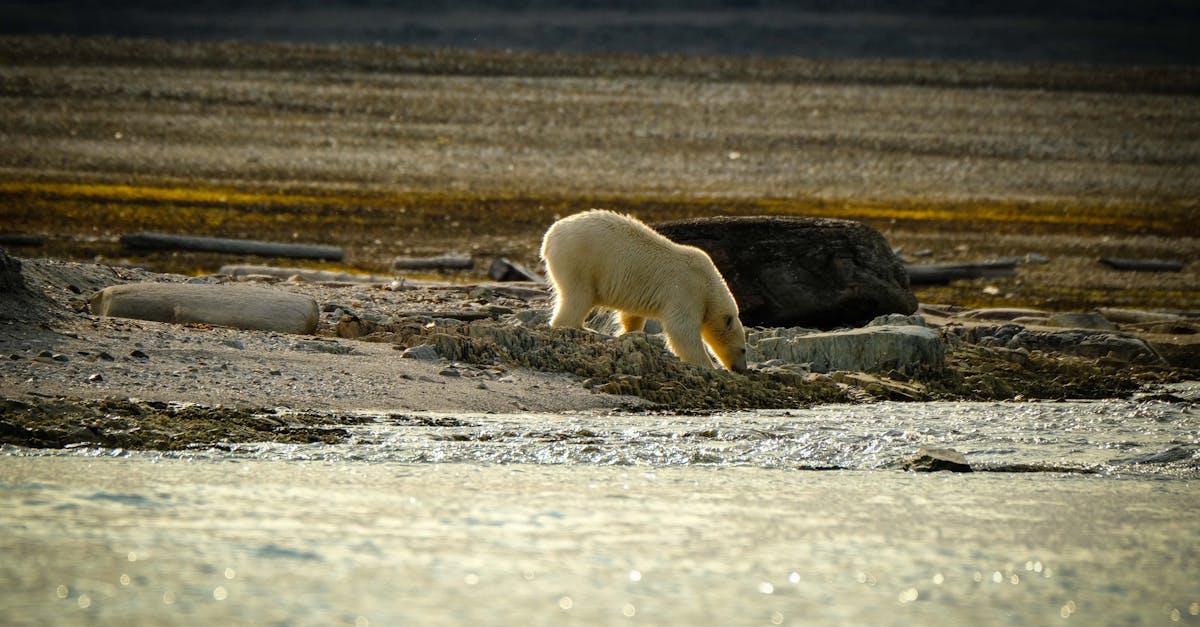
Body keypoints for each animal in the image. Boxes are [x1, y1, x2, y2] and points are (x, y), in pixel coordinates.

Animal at [540, 207, 744, 369]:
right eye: (743, 350)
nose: (741, 369)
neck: (709, 284)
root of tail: (549, 237)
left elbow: (632, 315)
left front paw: (627, 333)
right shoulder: (687, 290)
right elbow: (682, 331)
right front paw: (708, 365)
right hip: (579, 261)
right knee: (579, 295)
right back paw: (581, 328)